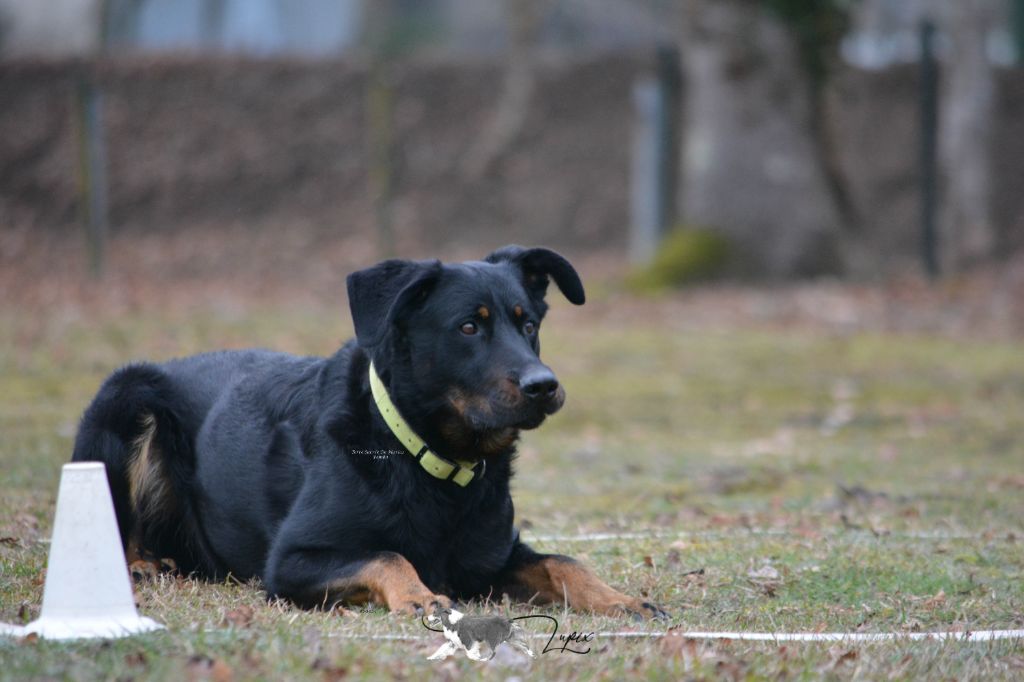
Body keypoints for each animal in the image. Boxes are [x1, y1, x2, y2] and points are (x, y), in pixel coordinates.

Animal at [70, 244, 663, 614]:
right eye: (469, 327)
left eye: (529, 324)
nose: (545, 385)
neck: (425, 455)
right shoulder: (291, 561)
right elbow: (387, 554)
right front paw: (417, 594)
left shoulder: (491, 559)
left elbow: (565, 562)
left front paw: (617, 598)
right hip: (124, 397)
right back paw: (141, 564)